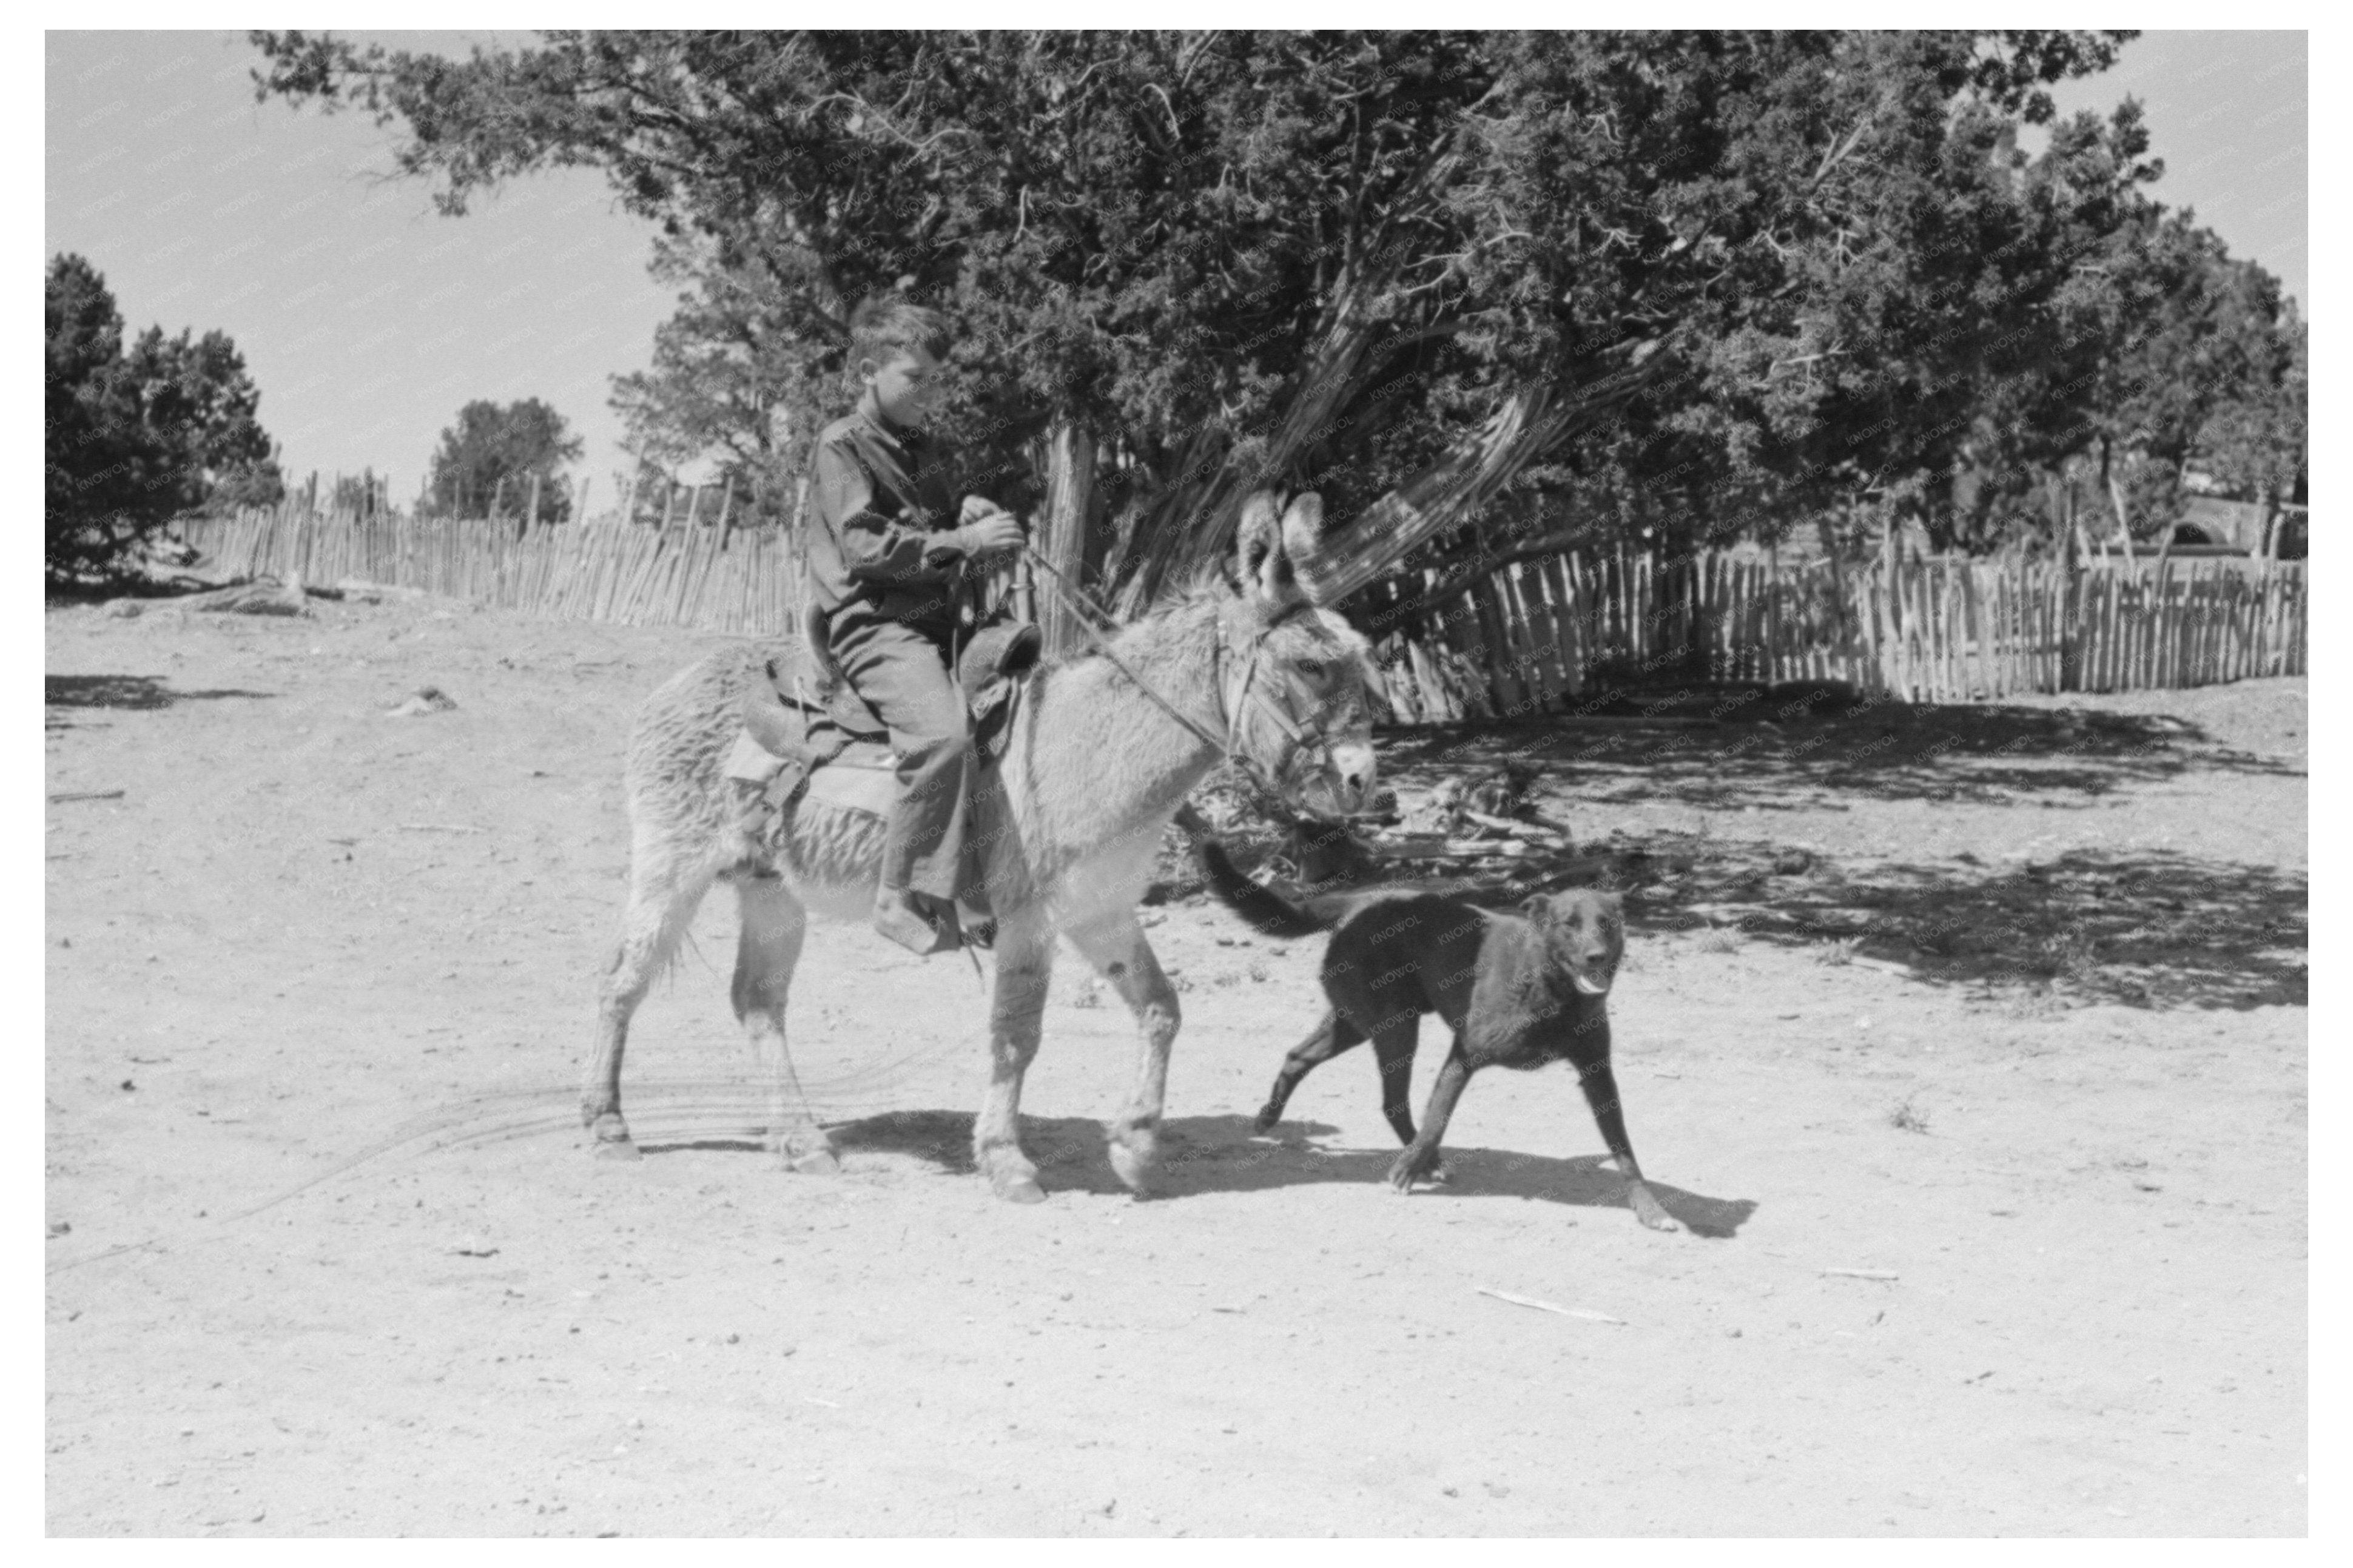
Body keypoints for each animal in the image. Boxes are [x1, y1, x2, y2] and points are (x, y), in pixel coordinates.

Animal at [1205, 838, 1685, 1224]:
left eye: (1608, 923)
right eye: (1569, 923)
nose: (1596, 956)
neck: (1549, 989)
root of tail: (1357, 902)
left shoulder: (1597, 1073)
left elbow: (1624, 1150)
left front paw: (1650, 1209)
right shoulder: (1464, 1053)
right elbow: (1438, 1116)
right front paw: (1409, 1169)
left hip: (1358, 1022)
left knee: (1299, 1056)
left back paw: (1270, 1116)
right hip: (1395, 1026)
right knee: (1393, 1102)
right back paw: (1424, 1160)